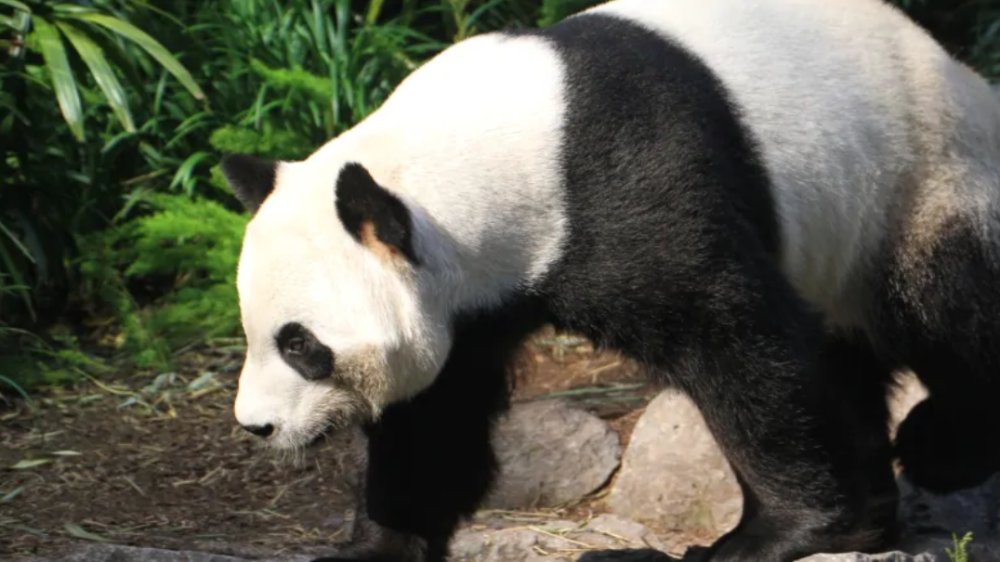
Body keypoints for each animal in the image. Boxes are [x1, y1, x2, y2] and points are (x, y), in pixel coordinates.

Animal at [219, 0, 1000, 560]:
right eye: (255, 333)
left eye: (300, 344)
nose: (257, 426)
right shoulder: (470, 301)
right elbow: (435, 415)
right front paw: (377, 543)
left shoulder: (626, 188)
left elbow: (735, 340)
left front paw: (778, 534)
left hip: (922, 177)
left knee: (946, 308)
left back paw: (938, 450)